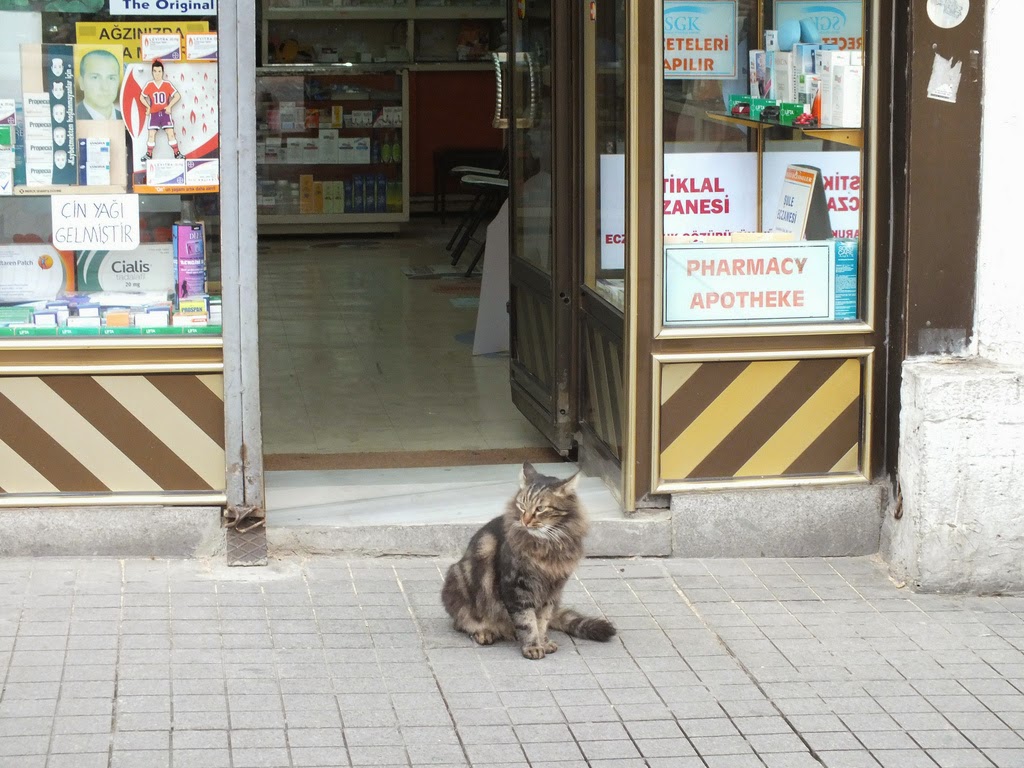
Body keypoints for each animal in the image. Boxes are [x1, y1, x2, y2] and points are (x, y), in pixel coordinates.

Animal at [440, 462, 614, 663]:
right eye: (522, 506)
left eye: (540, 509)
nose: (525, 520)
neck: (547, 546)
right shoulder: (516, 588)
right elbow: (527, 622)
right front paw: (533, 647)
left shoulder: (552, 591)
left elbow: (542, 621)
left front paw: (543, 642)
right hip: (458, 579)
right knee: (462, 621)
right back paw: (484, 632)